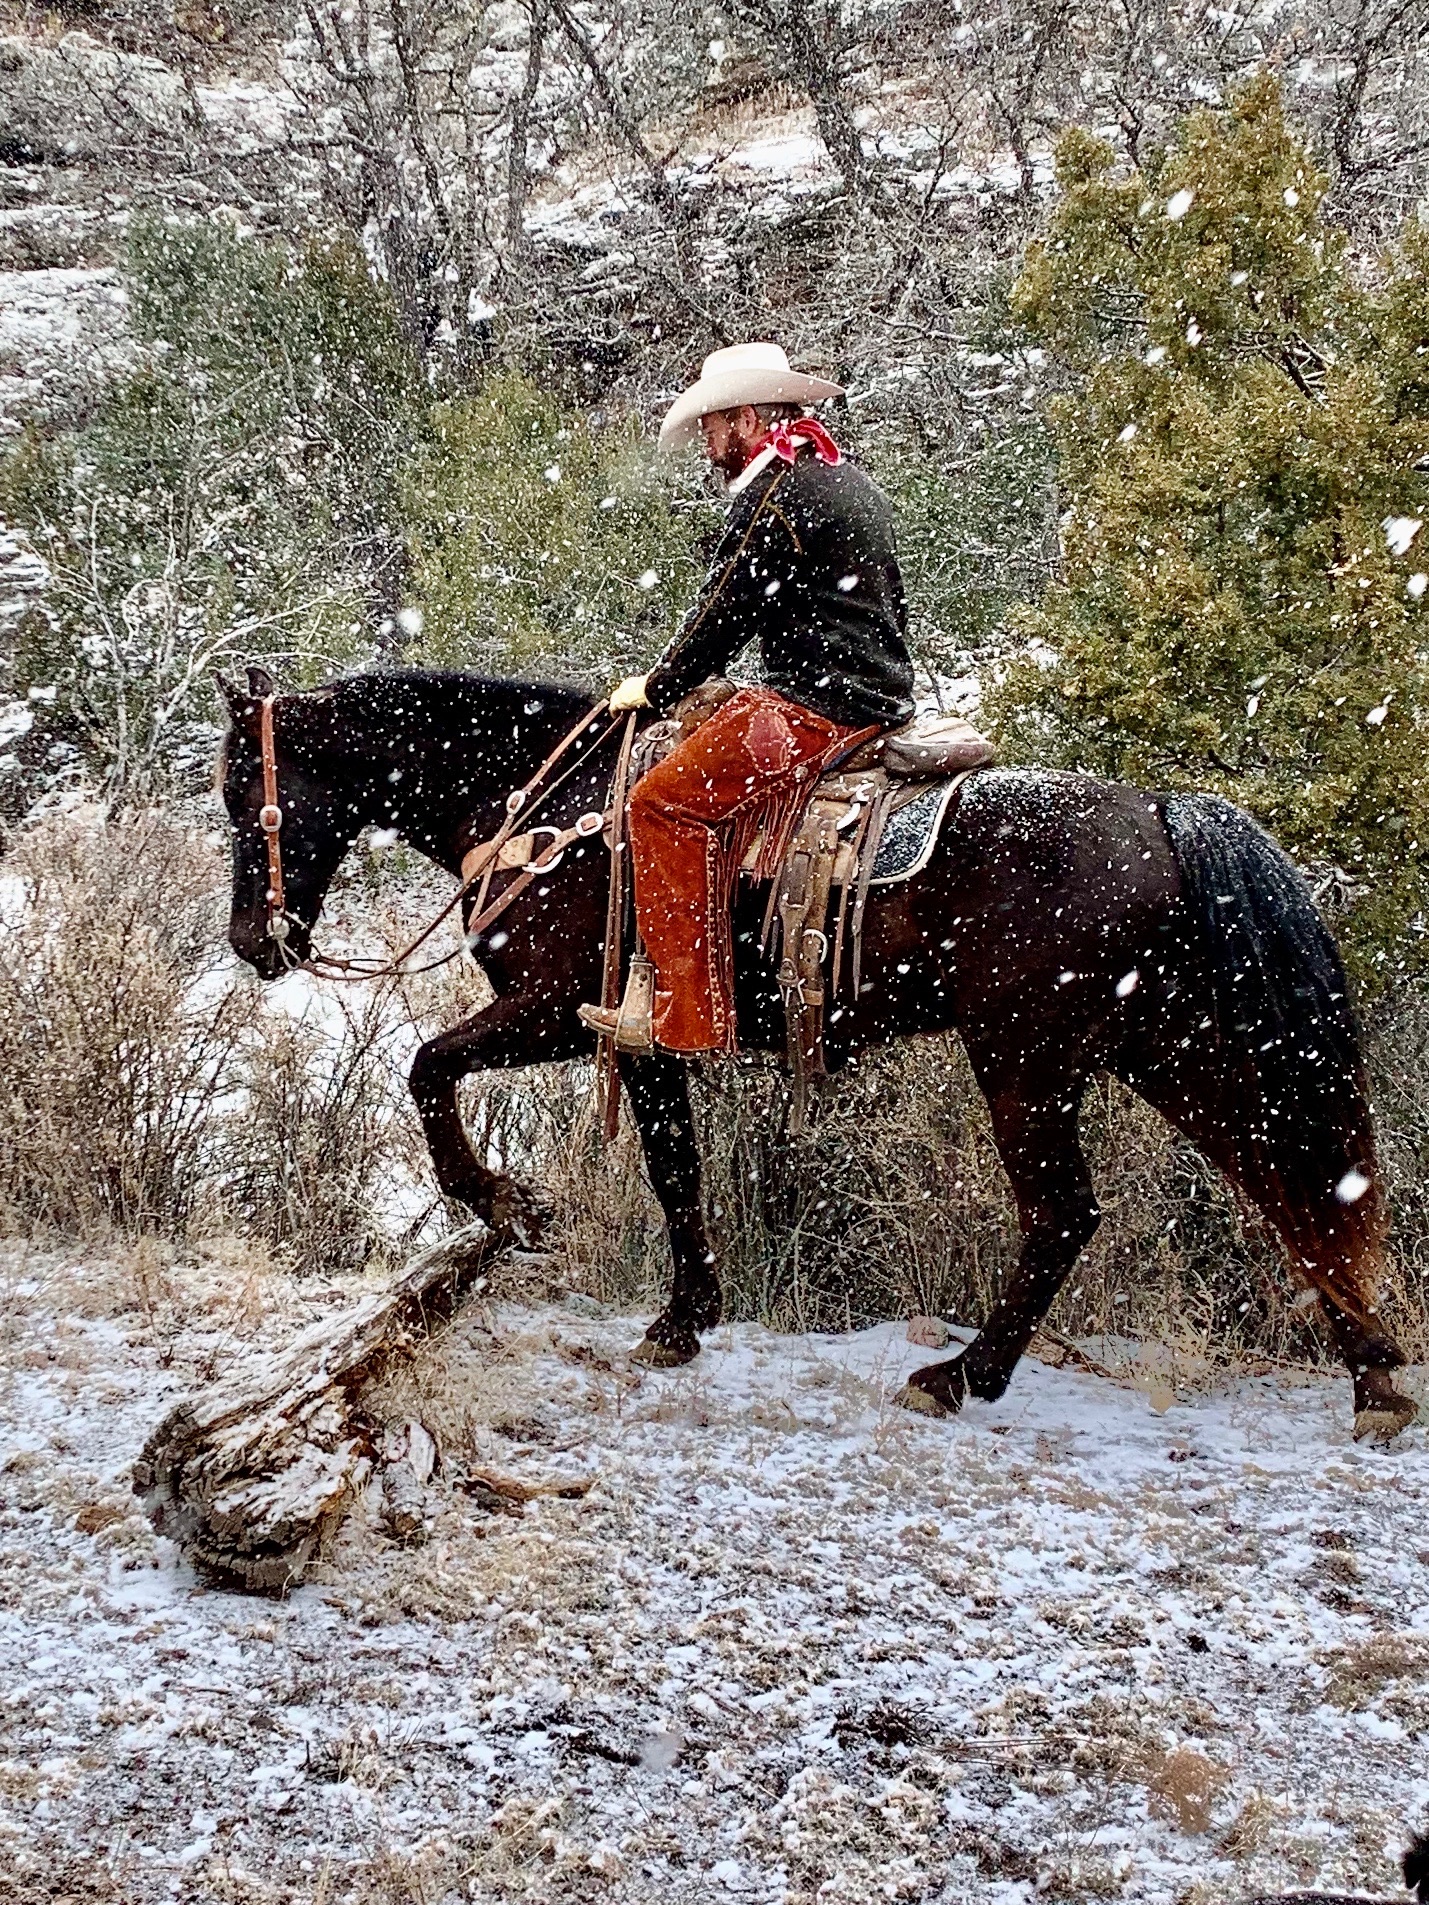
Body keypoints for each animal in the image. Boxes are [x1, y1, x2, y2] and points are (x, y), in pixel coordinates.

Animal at [215, 662, 1425, 1432]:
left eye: (240, 794)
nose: (254, 943)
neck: (546, 804)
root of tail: (1159, 811)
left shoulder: (554, 1008)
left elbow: (428, 1069)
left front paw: (512, 1208)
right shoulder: (643, 1044)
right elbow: (674, 1168)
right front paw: (683, 1319)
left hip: (1027, 1058)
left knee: (1065, 1211)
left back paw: (959, 1375)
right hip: (1164, 1046)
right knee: (1281, 1180)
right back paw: (1374, 1380)